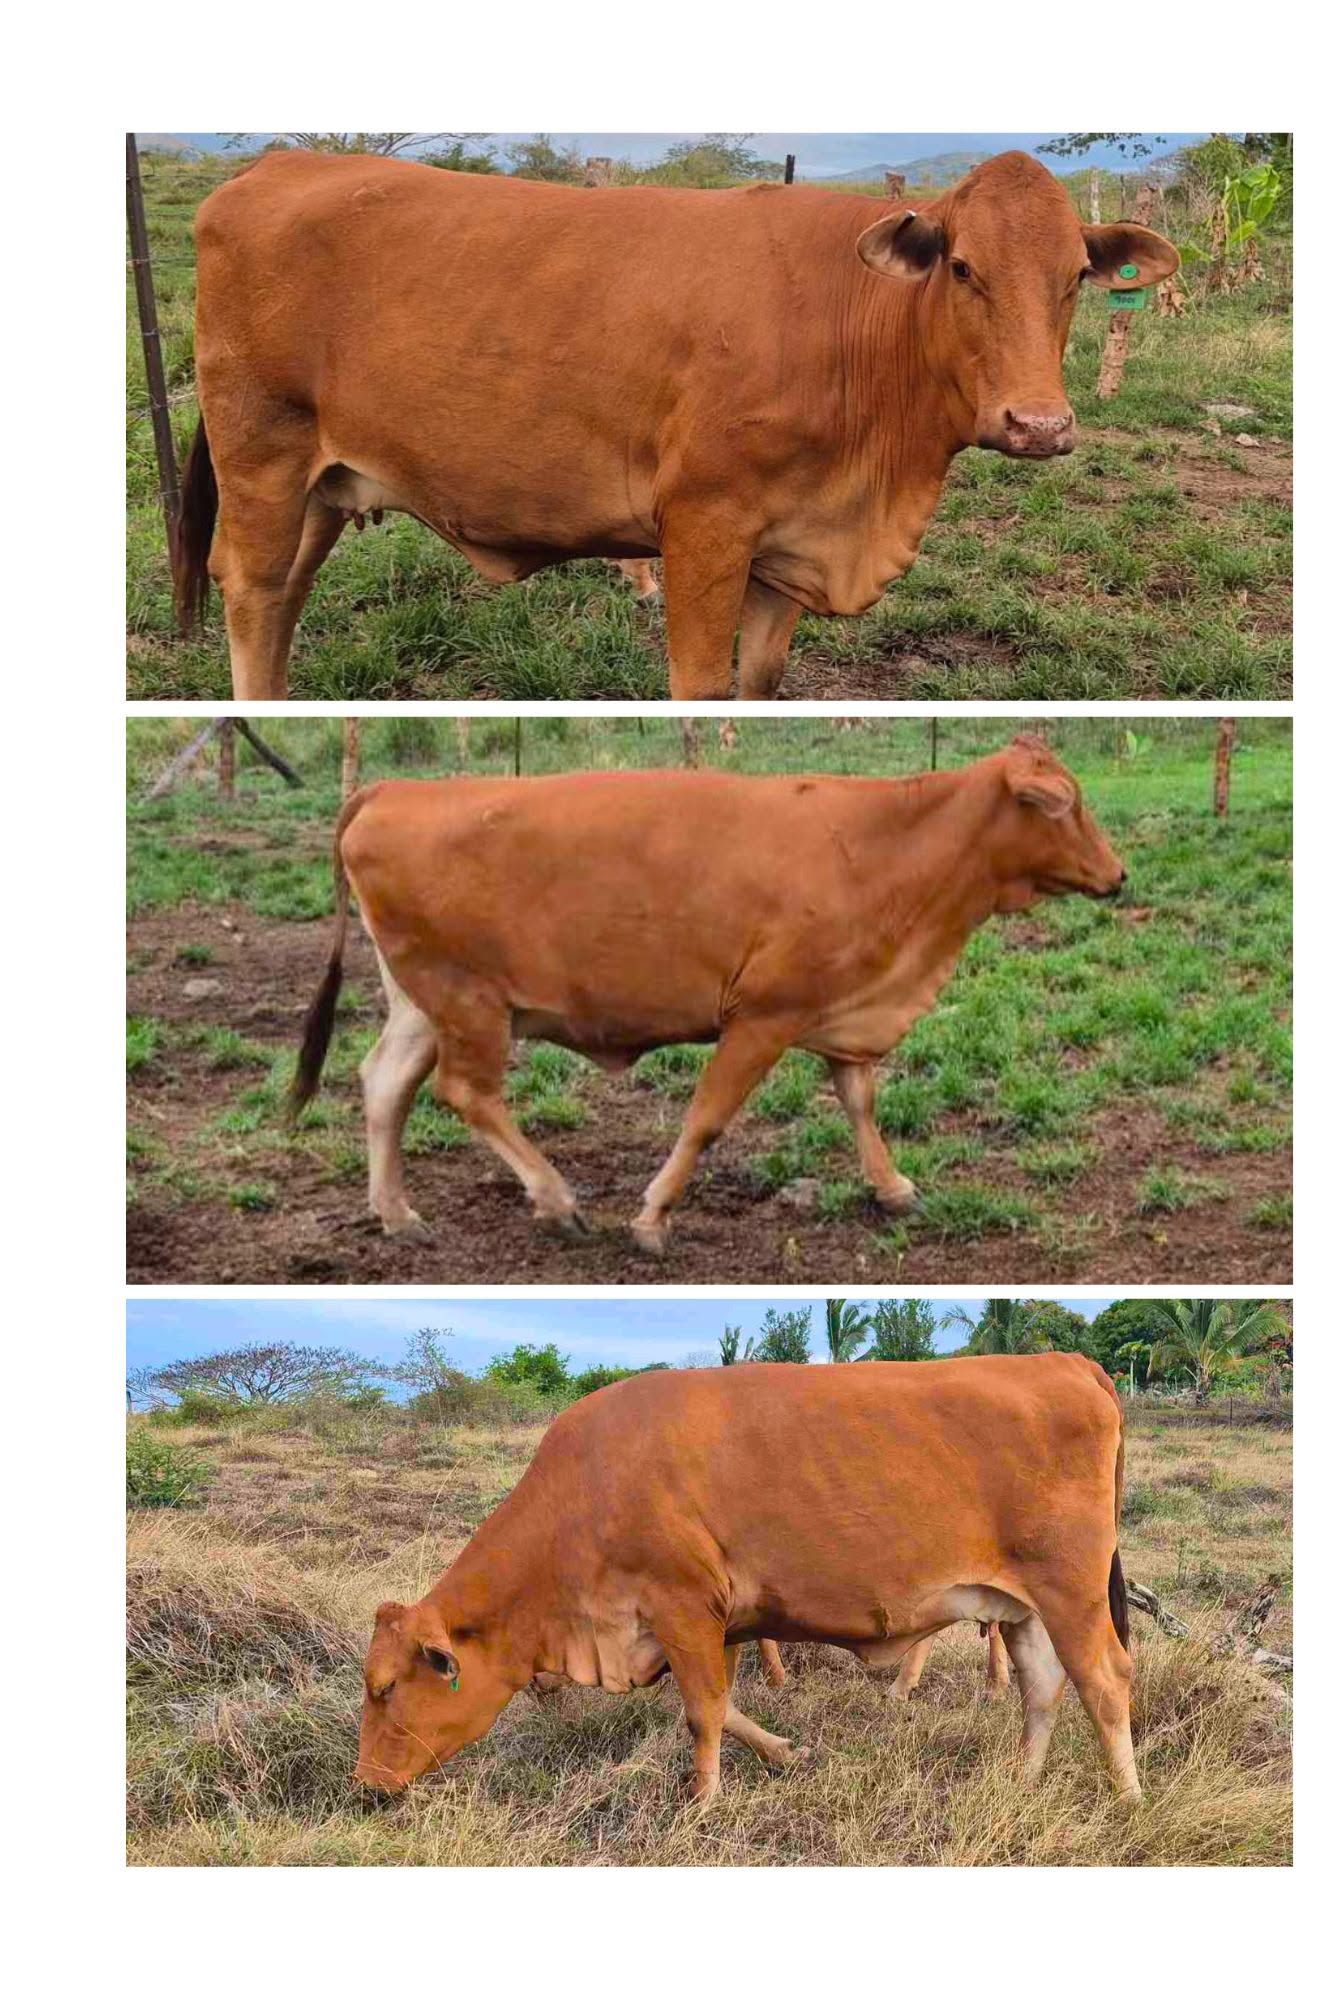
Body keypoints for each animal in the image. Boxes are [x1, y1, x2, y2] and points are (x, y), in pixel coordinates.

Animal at [173, 150, 1178, 700]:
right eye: (963, 268)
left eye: (1074, 277)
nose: (1038, 424)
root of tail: (276, 163)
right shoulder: (703, 525)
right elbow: (698, 685)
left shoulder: (788, 544)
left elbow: (760, 682)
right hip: (261, 454)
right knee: (252, 593)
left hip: (324, 485)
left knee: (286, 598)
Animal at [287, 737, 1126, 1253]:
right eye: (1066, 802)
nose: (1117, 876)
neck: (890, 841)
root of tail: (390, 791)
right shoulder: (761, 1018)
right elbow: (708, 1118)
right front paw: (652, 1216)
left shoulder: (841, 1011)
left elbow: (859, 1102)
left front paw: (892, 1190)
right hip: (469, 1004)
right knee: (466, 1093)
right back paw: (555, 1200)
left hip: (423, 1003)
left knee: (385, 1084)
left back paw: (398, 1214)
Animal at [353, 1354, 1140, 1803]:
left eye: (386, 1688)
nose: (365, 1785)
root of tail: (1067, 1360)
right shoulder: (720, 1619)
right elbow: (722, 1707)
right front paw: (786, 1752)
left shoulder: (681, 1609)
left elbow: (702, 1713)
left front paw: (700, 1805)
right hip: (1023, 1606)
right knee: (1042, 1687)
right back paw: (1024, 1780)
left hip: (1070, 1593)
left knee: (1104, 1682)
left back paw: (1127, 1799)